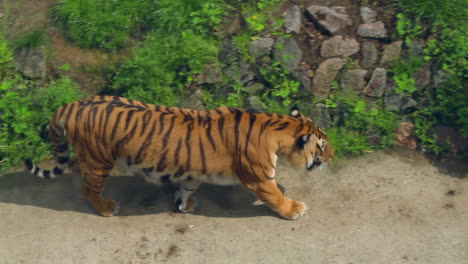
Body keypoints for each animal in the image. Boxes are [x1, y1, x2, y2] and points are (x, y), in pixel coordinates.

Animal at [24, 96, 332, 220]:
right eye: (323, 145)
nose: (333, 154)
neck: (276, 127)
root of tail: (72, 105)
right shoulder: (260, 179)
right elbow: (275, 196)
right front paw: (294, 209)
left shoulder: (193, 170)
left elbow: (187, 187)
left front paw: (185, 205)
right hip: (100, 161)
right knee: (90, 187)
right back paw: (106, 207)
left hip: (91, 156)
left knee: (76, 168)